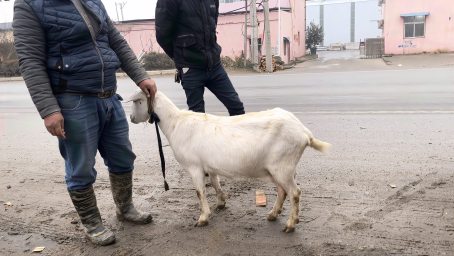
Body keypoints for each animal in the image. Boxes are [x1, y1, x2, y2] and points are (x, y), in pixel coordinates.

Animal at [127, 90, 330, 232]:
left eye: (138, 101)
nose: (131, 118)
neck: (175, 123)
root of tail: (304, 132)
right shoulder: (209, 165)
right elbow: (215, 182)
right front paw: (221, 203)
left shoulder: (194, 166)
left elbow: (200, 192)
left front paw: (203, 218)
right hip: (280, 169)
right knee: (283, 191)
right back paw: (273, 214)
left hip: (282, 166)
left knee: (295, 193)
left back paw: (290, 224)